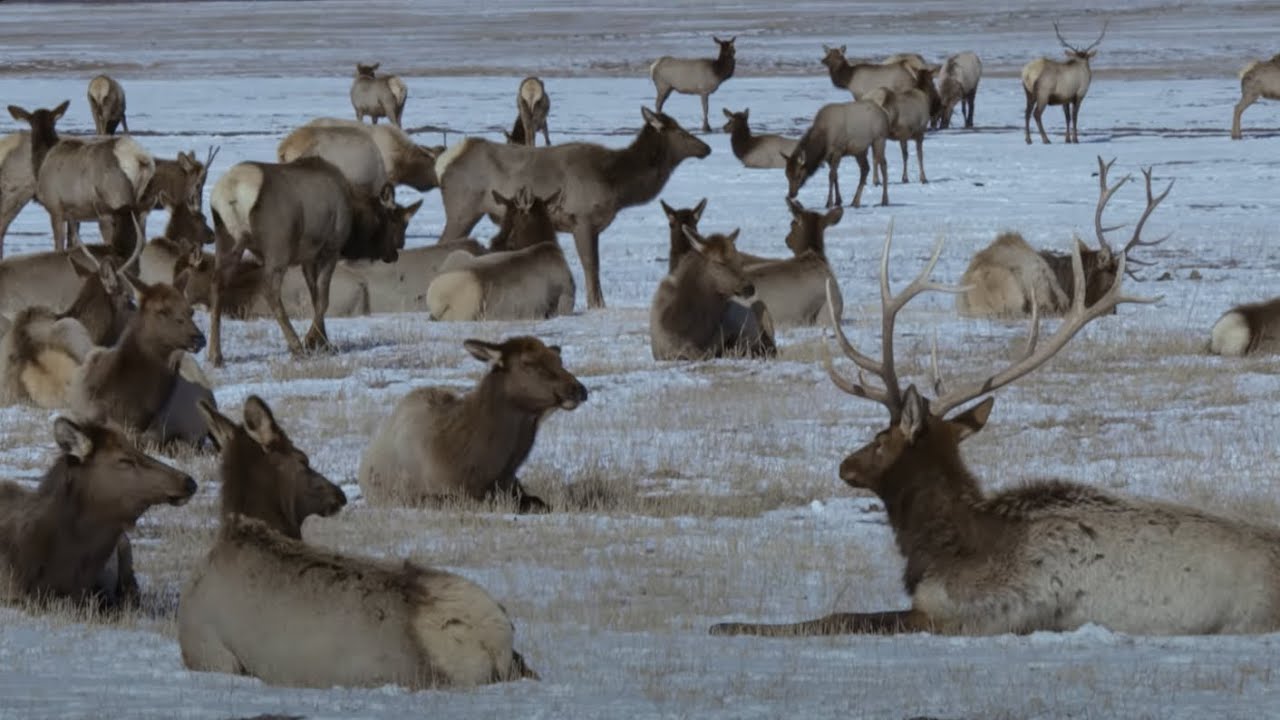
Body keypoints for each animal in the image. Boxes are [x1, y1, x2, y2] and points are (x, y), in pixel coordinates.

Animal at [7, 102, 154, 254]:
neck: (42, 161)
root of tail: (140, 159)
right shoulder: (75, 213)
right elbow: (72, 244)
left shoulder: (55, 206)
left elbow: (59, 247)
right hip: (141, 205)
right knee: (142, 240)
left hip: (116, 199)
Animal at [206, 156, 420, 366]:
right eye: (394, 221)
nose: (396, 252)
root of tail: (231, 192)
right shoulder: (331, 249)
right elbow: (324, 299)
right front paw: (311, 341)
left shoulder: (307, 257)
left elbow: (315, 297)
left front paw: (324, 343)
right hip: (278, 248)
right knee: (270, 291)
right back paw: (296, 347)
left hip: (227, 240)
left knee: (217, 284)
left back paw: (215, 355)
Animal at [359, 336, 587, 513]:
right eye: (528, 362)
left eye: (559, 359)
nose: (578, 389)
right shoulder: (428, 494)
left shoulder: (513, 488)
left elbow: (539, 503)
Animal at [435, 106, 711, 309]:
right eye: (679, 130)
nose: (706, 148)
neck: (614, 183)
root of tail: (442, 162)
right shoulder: (582, 218)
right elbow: (590, 263)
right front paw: (595, 304)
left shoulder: (594, 225)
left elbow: (595, 265)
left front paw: (600, 303)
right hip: (462, 209)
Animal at [710, 224, 1280, 638]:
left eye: (879, 437)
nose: (844, 465)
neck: (941, 548)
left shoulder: (968, 613)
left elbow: (838, 617)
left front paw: (728, 624)